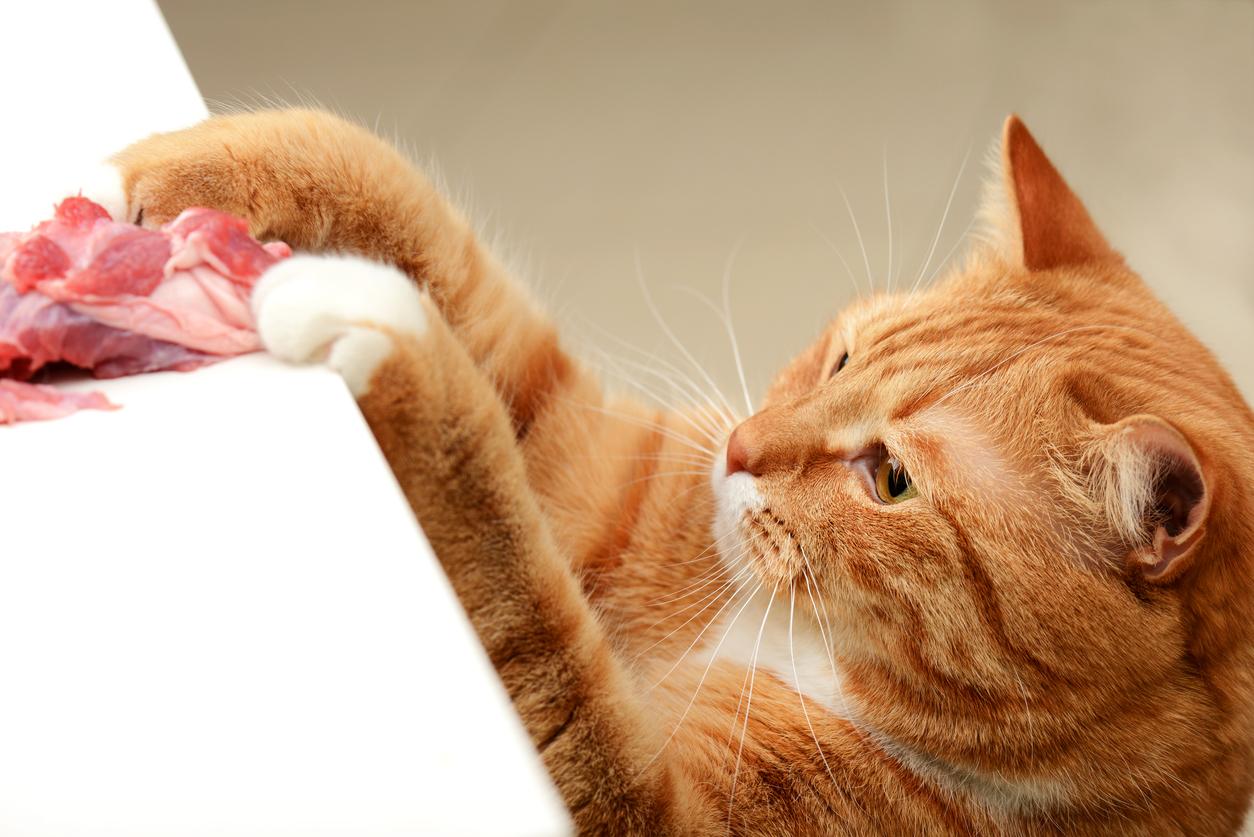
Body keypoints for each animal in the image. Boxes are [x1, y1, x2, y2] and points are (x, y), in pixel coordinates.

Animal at [100, 109, 1254, 833]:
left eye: (889, 480)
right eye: (842, 359)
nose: (740, 448)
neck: (781, 638)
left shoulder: (639, 809)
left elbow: (523, 592)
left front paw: (373, 325)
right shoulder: (599, 474)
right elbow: (432, 239)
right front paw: (196, 174)